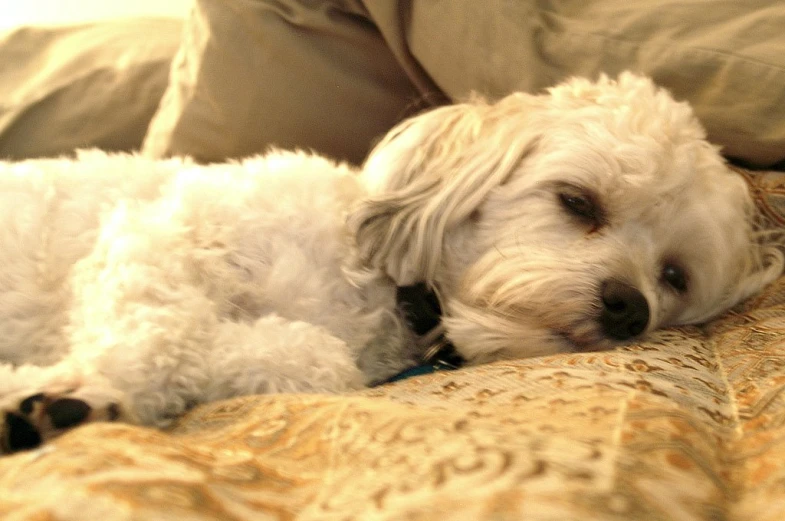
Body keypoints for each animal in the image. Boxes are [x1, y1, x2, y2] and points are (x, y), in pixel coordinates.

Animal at [0, 73, 776, 450]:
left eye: (672, 276)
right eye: (577, 202)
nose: (628, 309)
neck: (387, 295)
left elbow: (311, 360)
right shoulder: (164, 232)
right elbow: (157, 334)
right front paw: (56, 393)